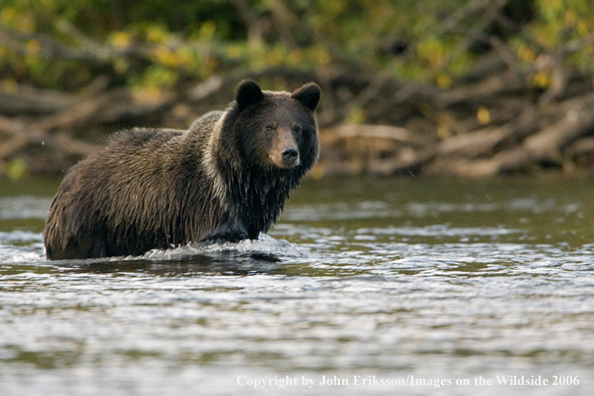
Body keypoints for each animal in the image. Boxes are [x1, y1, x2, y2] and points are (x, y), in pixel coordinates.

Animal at [44, 80, 320, 260]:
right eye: (269, 127)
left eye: (297, 128)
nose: (289, 153)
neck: (245, 179)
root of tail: (71, 174)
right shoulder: (204, 208)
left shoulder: (251, 212)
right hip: (89, 221)